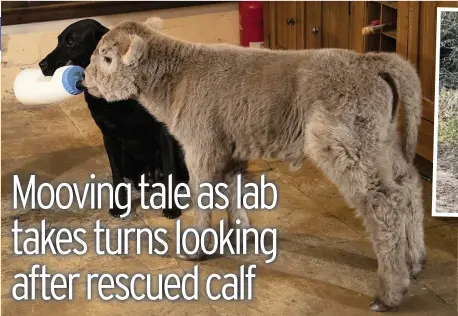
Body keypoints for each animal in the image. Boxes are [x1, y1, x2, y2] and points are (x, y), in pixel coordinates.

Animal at [39, 18, 189, 218]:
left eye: (71, 42)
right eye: (58, 41)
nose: (41, 65)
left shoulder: (163, 132)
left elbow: (170, 171)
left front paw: (171, 207)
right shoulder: (109, 137)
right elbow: (116, 175)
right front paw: (120, 206)